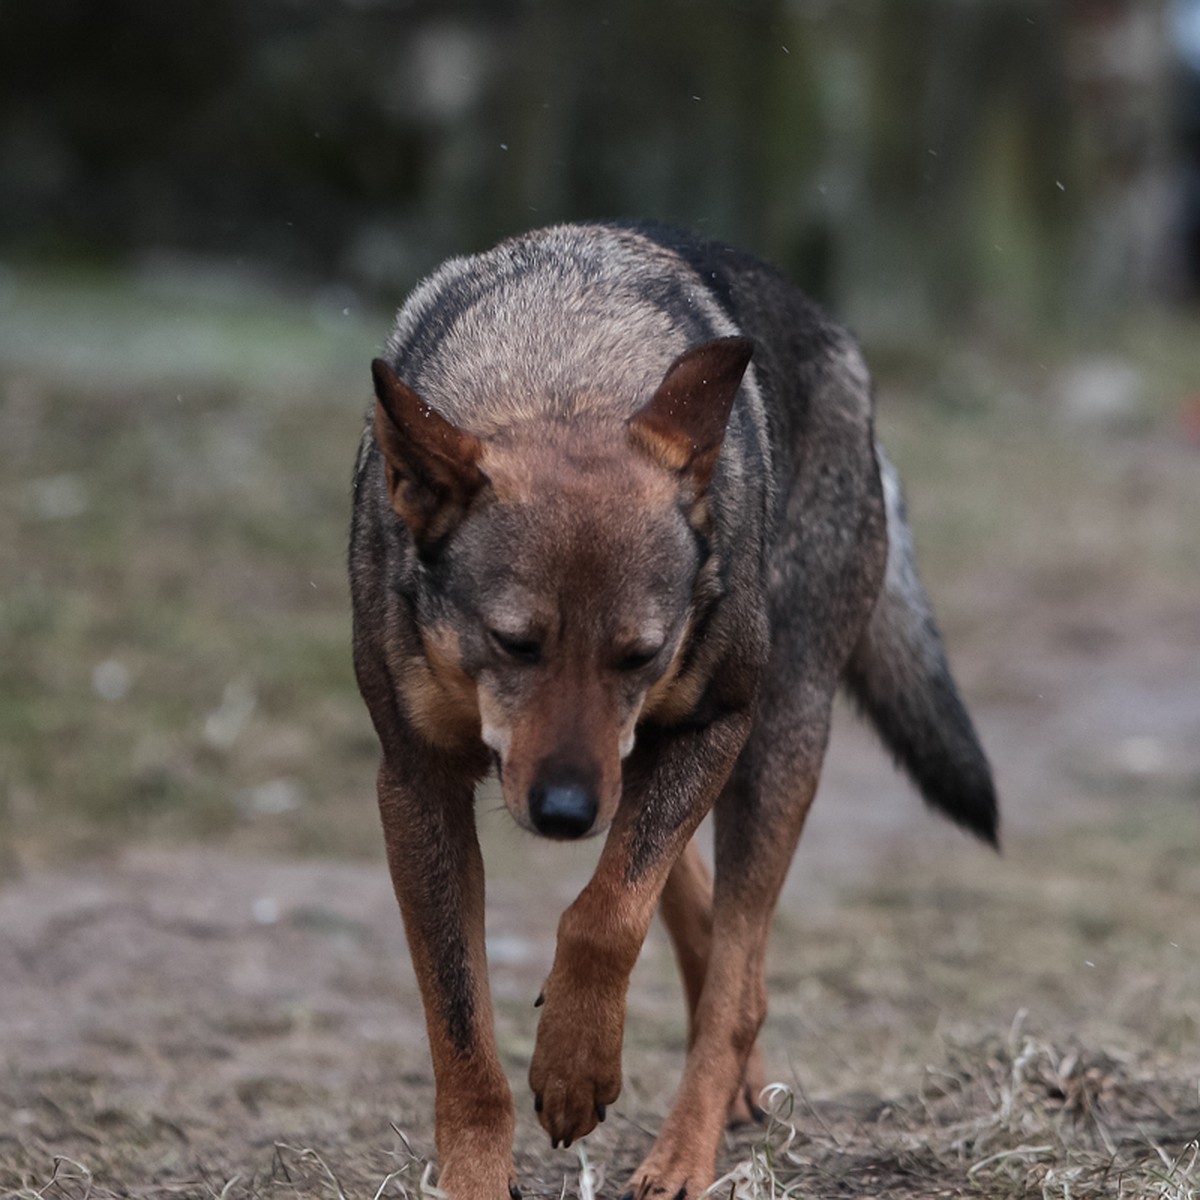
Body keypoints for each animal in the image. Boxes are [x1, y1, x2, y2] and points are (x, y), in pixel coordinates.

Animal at [350, 223, 1003, 1200]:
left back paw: (683, 1156)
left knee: (738, 982)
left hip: (773, 743)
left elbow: (604, 916)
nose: (564, 814)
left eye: (639, 654)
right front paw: (477, 1173)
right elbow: (460, 1028)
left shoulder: (710, 727)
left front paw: (574, 1070)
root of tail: (842, 343)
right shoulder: (418, 785)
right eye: (514, 644)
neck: (564, 371)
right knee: (707, 932)